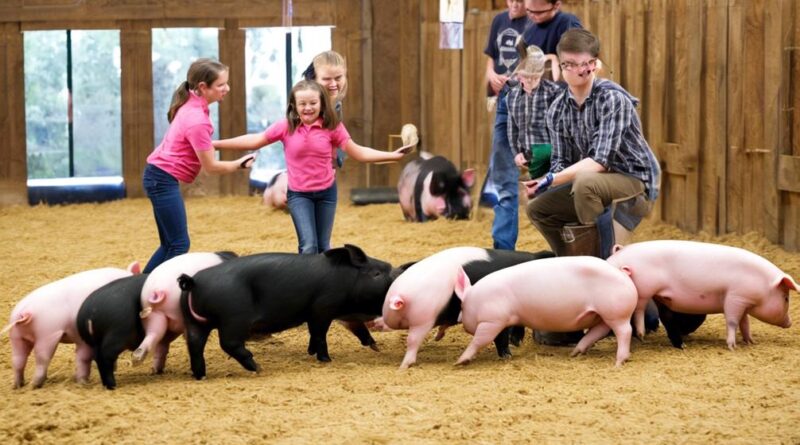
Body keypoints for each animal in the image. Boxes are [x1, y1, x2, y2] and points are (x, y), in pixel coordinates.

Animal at [2, 262, 139, 386]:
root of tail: (23, 311)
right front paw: (83, 382)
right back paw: (35, 385)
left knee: (18, 360)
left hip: (16, 337)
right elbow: (84, 358)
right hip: (47, 334)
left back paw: (18, 385)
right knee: (42, 359)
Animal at [456, 255, 636, 366]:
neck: (477, 298)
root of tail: (622, 274)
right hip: (602, 314)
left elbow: (480, 340)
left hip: (616, 312)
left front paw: (460, 361)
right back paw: (575, 353)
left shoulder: (492, 320)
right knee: (599, 330)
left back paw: (619, 362)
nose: (460, 320)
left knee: (624, 331)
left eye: (462, 306)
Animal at [608, 241, 796, 348]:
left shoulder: (743, 302)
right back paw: (641, 335)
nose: (790, 323)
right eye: (786, 298)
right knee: (639, 309)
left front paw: (750, 342)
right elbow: (733, 321)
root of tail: (612, 261)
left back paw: (681, 345)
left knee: (666, 318)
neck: (761, 283)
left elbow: (745, 322)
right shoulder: (735, 297)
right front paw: (732, 346)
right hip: (644, 288)